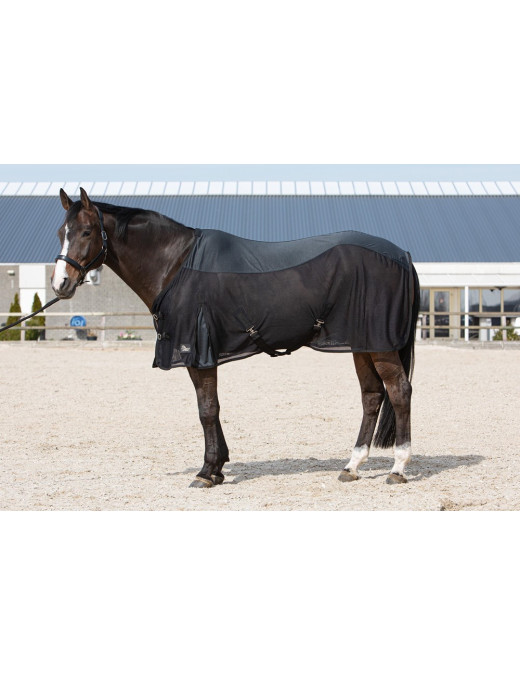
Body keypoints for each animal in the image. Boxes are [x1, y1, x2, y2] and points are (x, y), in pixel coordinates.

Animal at [52, 187, 420, 488]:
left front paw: (206, 472)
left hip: (381, 346)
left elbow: (207, 409)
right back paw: (352, 466)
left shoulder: (199, 351)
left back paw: (397, 468)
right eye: (60, 233)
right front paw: (217, 468)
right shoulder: (200, 353)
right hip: (363, 344)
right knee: (372, 397)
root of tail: (402, 254)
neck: (176, 264)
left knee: (399, 392)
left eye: (86, 231)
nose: (60, 284)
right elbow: (210, 408)